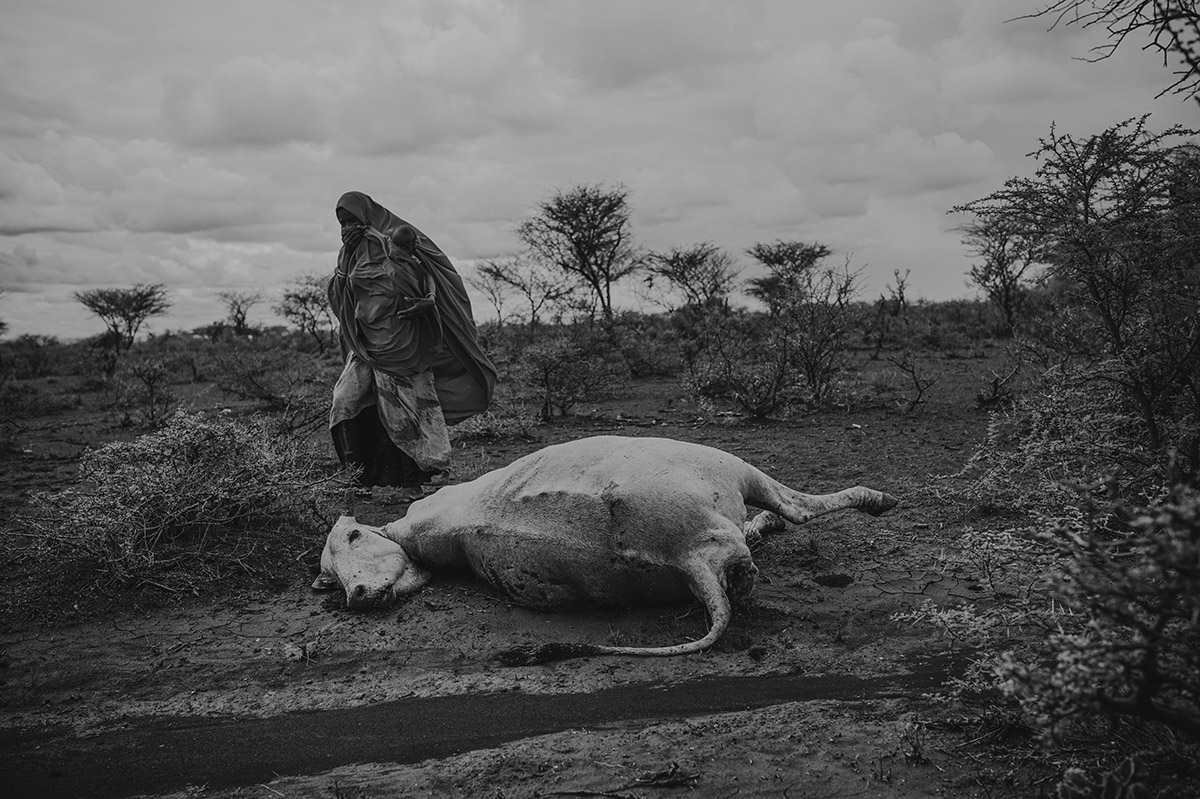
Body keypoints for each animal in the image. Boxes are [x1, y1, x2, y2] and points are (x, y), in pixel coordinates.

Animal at [312, 435, 898, 662]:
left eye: (353, 538)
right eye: (333, 579)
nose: (356, 594)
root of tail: (687, 556)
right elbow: (775, 520)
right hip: (730, 471)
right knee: (793, 511)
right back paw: (878, 498)